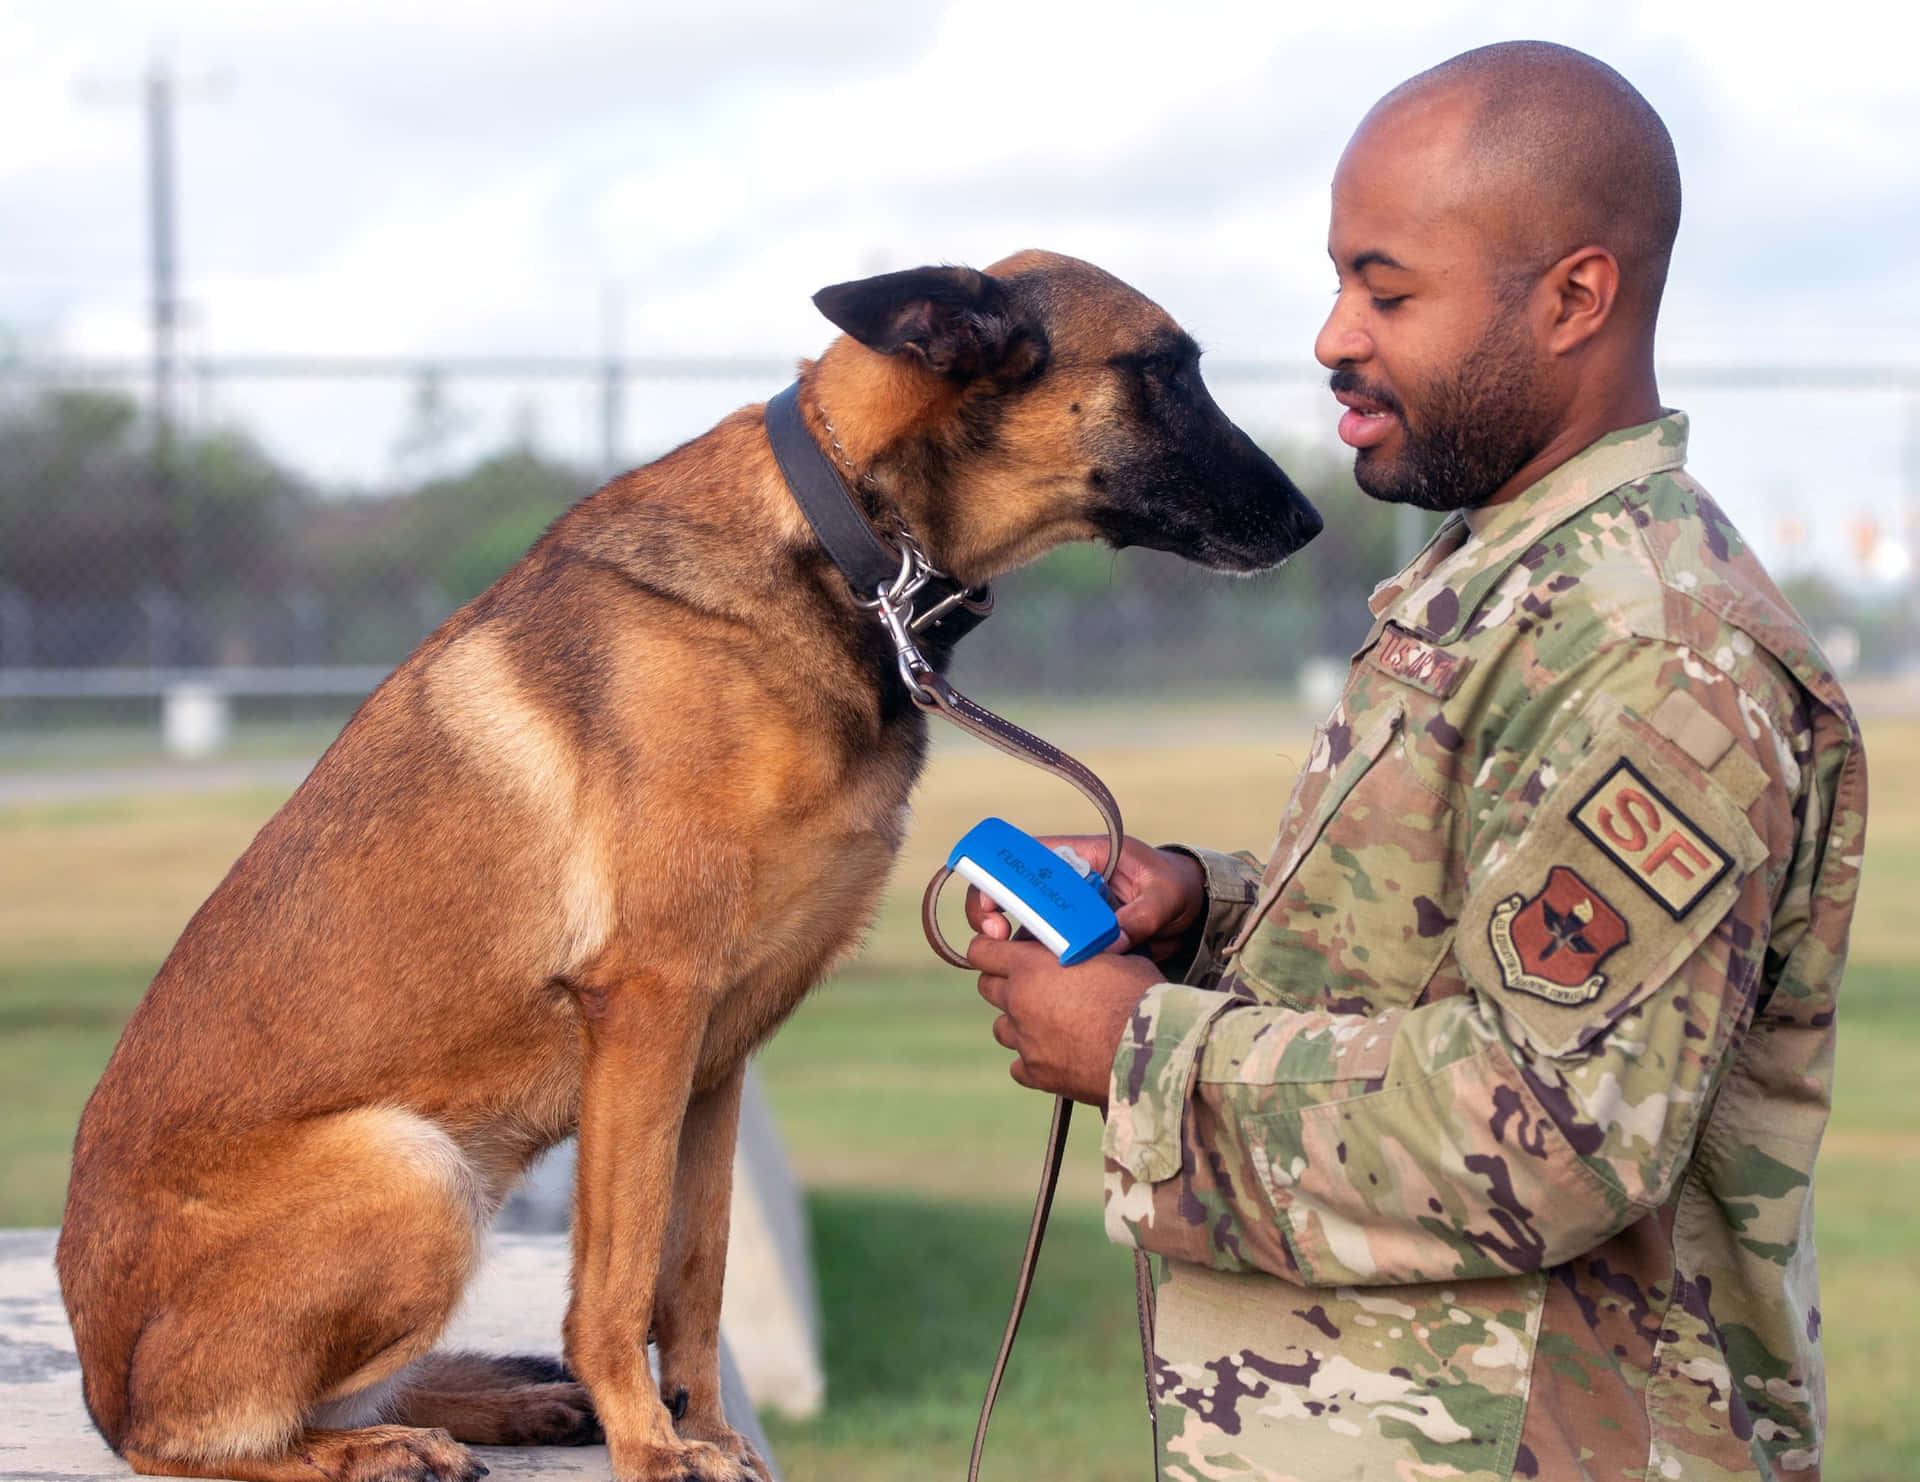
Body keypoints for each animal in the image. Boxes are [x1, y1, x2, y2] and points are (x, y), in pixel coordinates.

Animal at [56, 251, 1320, 1482]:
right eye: (1165, 370)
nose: (1314, 520)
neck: (847, 542)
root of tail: (99, 1380)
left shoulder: (717, 1057)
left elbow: (695, 1276)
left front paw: (705, 1430)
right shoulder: (648, 1015)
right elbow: (617, 1281)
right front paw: (653, 1445)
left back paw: (496, 1406)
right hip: (414, 1170)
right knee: (193, 1440)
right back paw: (367, 1447)